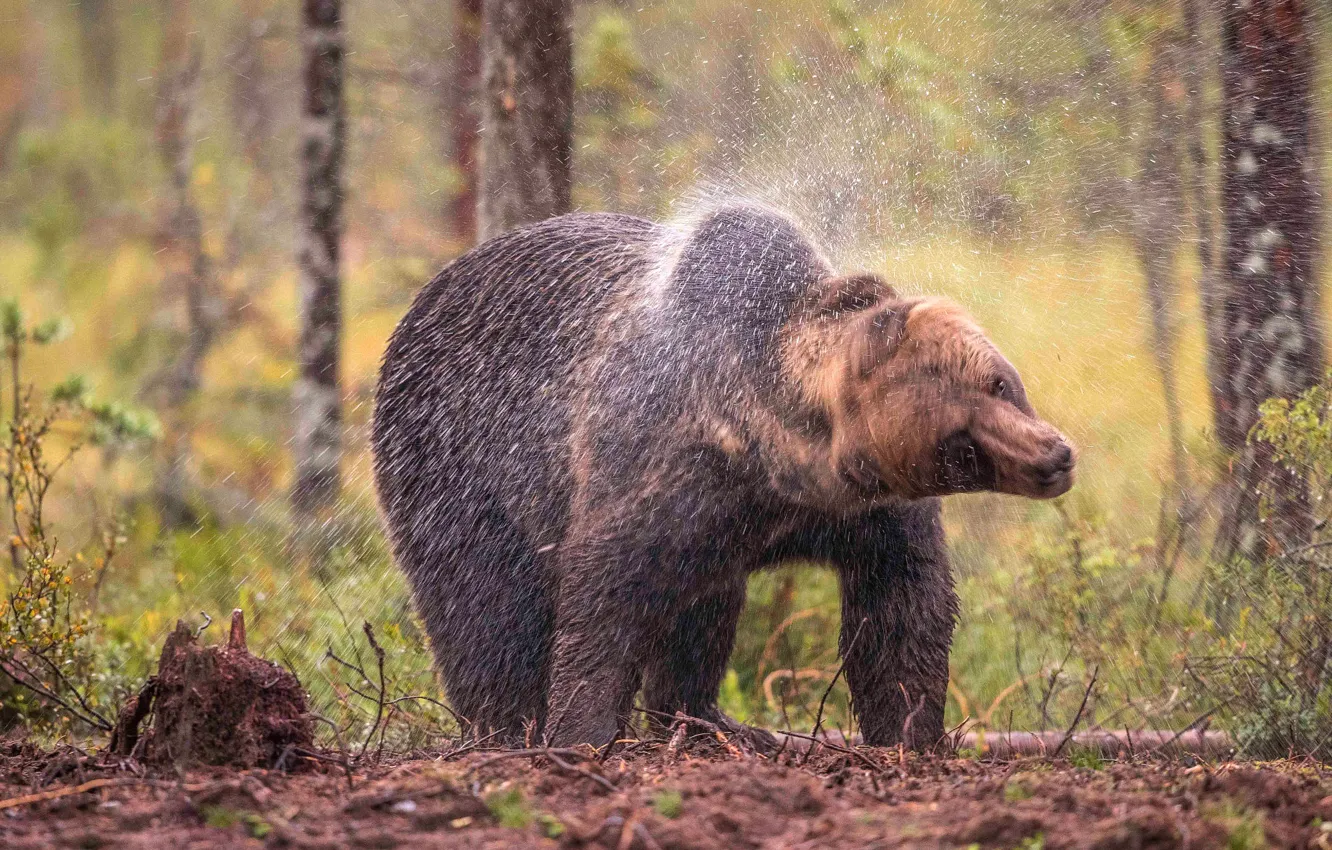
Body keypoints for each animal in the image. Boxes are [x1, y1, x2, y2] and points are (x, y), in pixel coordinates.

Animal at [371, 202, 1074, 750]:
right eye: (962, 442)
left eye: (1001, 383)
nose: (1055, 456)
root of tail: (427, 293)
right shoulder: (662, 460)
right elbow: (602, 588)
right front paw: (580, 731)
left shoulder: (858, 512)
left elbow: (902, 601)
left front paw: (914, 732)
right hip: (450, 456)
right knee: (479, 602)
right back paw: (502, 728)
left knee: (703, 610)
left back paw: (715, 723)